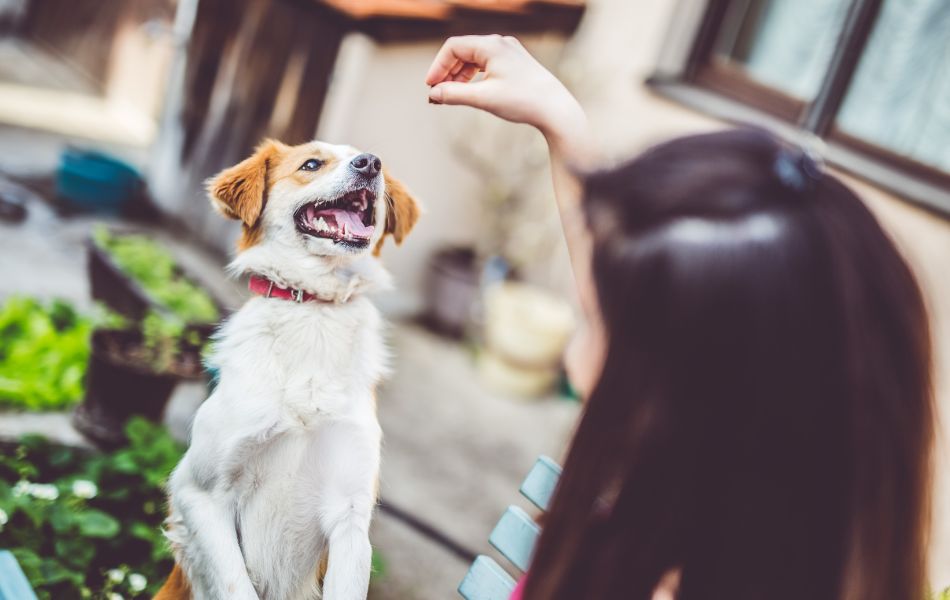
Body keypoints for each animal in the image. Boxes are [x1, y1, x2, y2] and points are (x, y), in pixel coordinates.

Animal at [156, 138, 420, 596]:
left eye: (376, 165)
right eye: (311, 164)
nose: (370, 163)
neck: (313, 310)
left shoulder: (351, 516)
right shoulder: (199, 494)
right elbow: (236, 586)